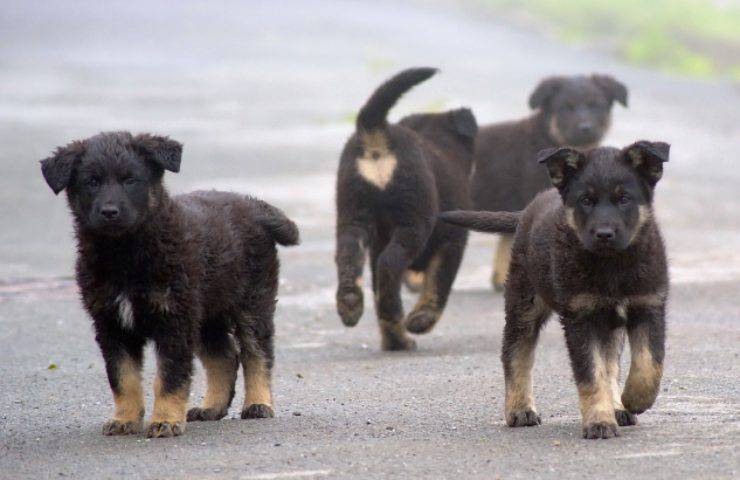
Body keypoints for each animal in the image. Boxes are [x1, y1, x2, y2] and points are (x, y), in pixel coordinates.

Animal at [39, 131, 298, 438]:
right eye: (92, 182)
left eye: (131, 180)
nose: (109, 212)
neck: (125, 254)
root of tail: (253, 206)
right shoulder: (111, 324)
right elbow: (122, 377)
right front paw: (125, 419)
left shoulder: (173, 318)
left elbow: (169, 376)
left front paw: (165, 420)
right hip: (206, 313)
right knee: (224, 357)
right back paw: (211, 407)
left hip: (252, 302)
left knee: (257, 352)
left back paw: (258, 404)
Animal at [334, 67, 476, 350]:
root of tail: (376, 132)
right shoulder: (453, 241)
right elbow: (438, 284)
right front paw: (420, 321)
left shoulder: (377, 243)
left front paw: (394, 340)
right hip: (413, 221)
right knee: (390, 265)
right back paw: (395, 313)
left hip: (352, 215)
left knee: (350, 256)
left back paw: (351, 304)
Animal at [440, 140, 672, 438]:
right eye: (586, 200)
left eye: (624, 199)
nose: (604, 234)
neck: (612, 266)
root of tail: (526, 212)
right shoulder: (580, 317)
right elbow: (590, 374)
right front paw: (599, 421)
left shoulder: (649, 306)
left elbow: (648, 363)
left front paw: (632, 400)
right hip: (524, 304)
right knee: (516, 353)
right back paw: (520, 409)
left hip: (607, 324)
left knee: (610, 362)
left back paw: (617, 405)